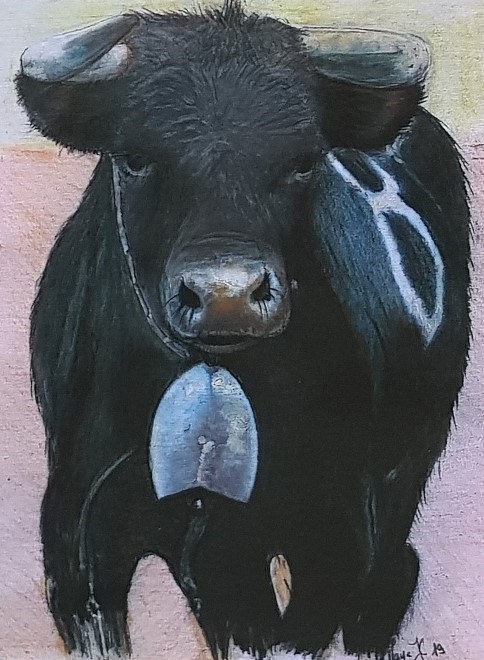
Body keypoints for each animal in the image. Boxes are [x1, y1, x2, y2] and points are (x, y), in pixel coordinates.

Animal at [16, 1, 471, 658]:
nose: (225, 295)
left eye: (305, 161)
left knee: (391, 578)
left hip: (399, 484)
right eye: (133, 158)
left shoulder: (321, 544)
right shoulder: (81, 555)